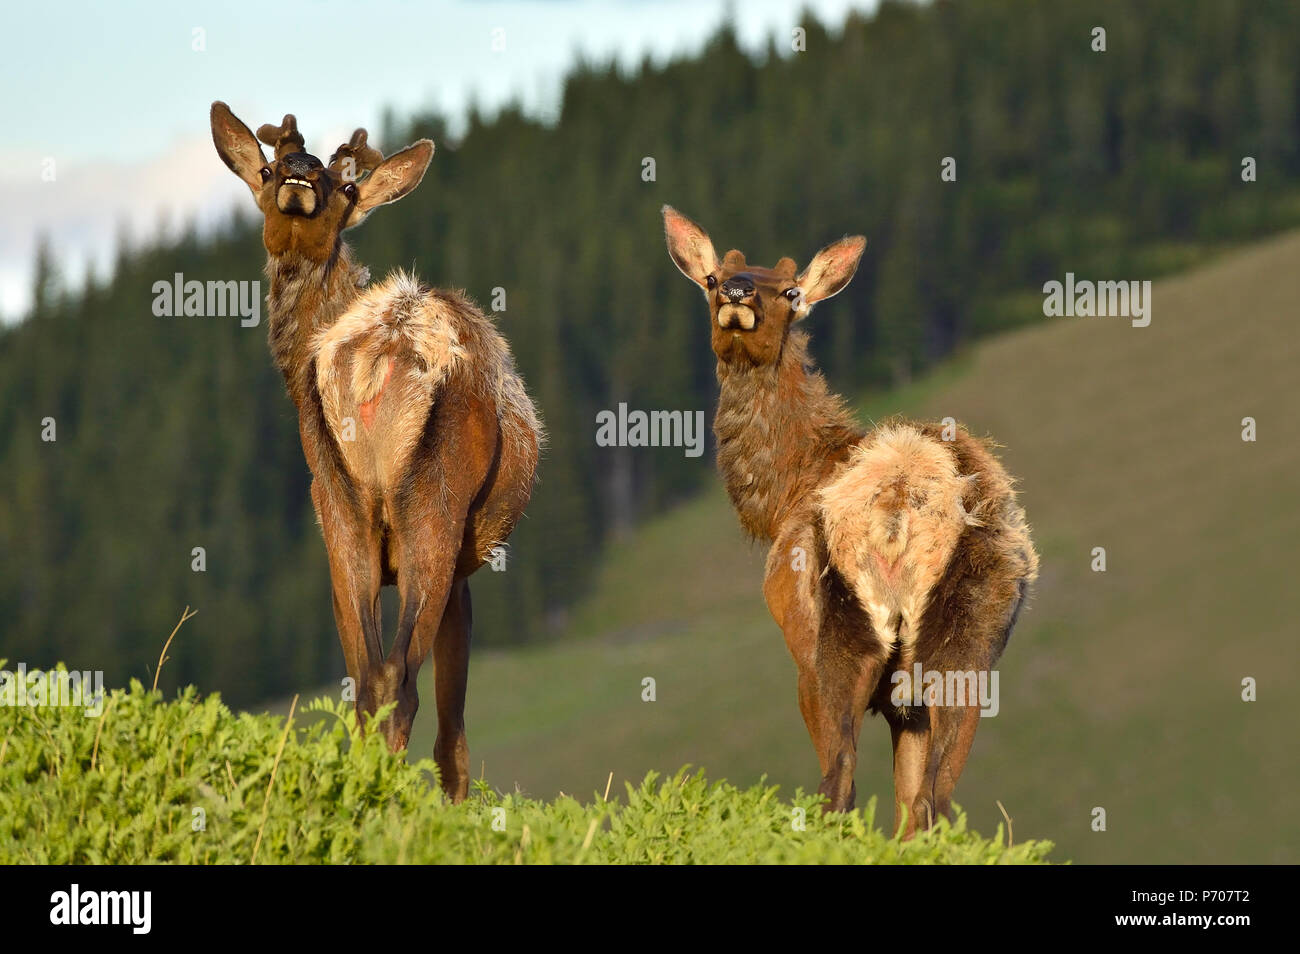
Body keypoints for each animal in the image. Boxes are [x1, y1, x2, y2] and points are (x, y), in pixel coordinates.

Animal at [209, 102, 542, 801]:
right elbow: (449, 717)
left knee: (373, 681)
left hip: (348, 507)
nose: (300, 173)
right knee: (396, 679)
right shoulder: (460, 565)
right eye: (270, 166)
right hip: (430, 508)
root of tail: (380, 356)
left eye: (343, 187)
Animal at [662, 206, 1038, 836]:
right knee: (935, 799)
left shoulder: (801, 644)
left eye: (791, 291)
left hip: (839, 638)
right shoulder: (906, 701)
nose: (738, 292)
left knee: (840, 781)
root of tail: (901, 508)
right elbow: (910, 796)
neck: (784, 494)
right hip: (966, 649)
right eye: (713, 278)